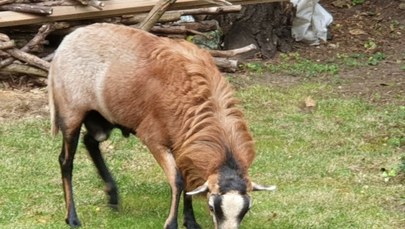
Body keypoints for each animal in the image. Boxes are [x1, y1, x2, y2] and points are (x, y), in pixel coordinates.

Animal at [47, 23, 274, 229]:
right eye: (212, 207)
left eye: (246, 210)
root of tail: (68, 39)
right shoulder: (154, 139)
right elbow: (178, 181)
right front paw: (172, 223)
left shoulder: (184, 145)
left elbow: (189, 182)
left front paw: (190, 222)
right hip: (71, 113)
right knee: (65, 161)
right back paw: (72, 218)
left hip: (102, 117)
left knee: (91, 142)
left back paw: (112, 196)